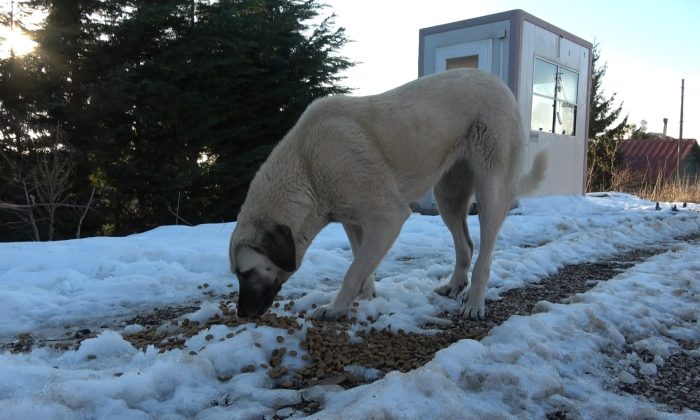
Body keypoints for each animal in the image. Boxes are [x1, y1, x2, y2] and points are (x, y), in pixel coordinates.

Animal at [230, 69, 548, 320]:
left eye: (245, 273)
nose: (241, 314)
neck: (307, 167)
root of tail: (499, 83)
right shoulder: (353, 221)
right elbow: (360, 262)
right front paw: (364, 296)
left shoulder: (388, 218)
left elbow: (353, 270)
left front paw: (336, 308)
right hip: (448, 197)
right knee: (466, 245)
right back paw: (455, 284)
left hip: (490, 189)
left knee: (485, 254)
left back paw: (474, 303)